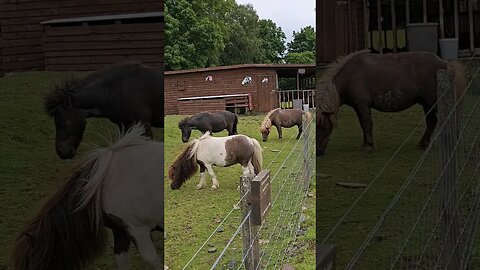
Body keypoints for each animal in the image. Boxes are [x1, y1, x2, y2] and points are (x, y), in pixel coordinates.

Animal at [316, 50, 466, 156]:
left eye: (323, 127)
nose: (317, 152)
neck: (351, 76)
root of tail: (445, 63)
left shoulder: (363, 105)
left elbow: (367, 124)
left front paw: (369, 146)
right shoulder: (358, 107)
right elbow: (363, 125)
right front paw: (365, 144)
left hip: (433, 102)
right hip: (427, 104)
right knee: (432, 122)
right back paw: (424, 143)